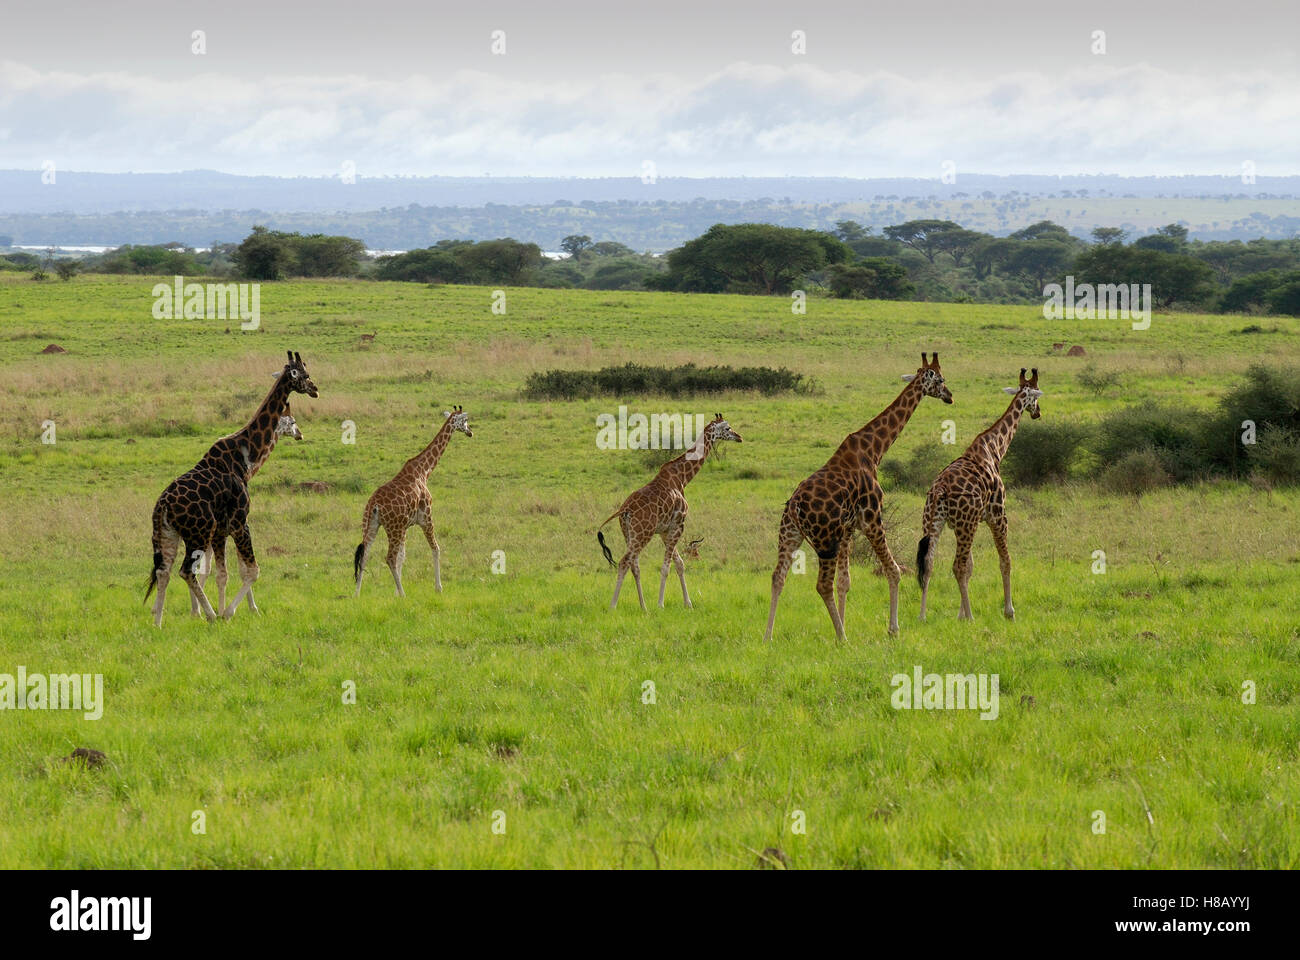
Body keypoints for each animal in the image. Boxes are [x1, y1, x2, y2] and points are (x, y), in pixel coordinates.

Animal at [192, 414, 302, 617]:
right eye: (292, 422)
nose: (299, 434)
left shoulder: (234, 530)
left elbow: (237, 568)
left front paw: (250, 608)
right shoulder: (237, 528)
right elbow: (233, 570)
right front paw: (231, 610)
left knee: (201, 567)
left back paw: (200, 610)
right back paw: (203, 611)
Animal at [353, 406, 473, 597]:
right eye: (465, 420)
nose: (470, 432)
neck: (424, 470)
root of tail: (374, 505)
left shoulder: (406, 526)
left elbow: (403, 557)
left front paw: (395, 591)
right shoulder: (426, 517)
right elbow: (436, 548)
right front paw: (438, 588)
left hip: (371, 525)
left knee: (365, 555)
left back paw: (356, 594)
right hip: (393, 528)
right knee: (389, 557)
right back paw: (404, 594)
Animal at [596, 414, 743, 611]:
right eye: (727, 428)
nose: (739, 437)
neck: (682, 478)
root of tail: (624, 510)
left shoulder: (665, 531)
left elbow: (679, 563)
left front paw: (688, 603)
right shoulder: (678, 524)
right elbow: (666, 567)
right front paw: (661, 604)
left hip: (628, 533)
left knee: (634, 565)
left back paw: (643, 607)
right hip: (643, 533)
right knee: (624, 561)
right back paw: (613, 606)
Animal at [763, 353, 953, 641]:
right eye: (940, 379)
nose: (950, 396)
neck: (874, 450)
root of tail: (794, 506)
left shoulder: (848, 529)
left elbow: (845, 582)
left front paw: (842, 623)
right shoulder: (872, 519)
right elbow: (893, 570)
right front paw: (893, 629)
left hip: (789, 534)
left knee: (778, 578)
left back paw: (768, 637)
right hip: (825, 540)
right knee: (822, 585)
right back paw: (843, 639)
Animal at [916, 368, 1043, 623]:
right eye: (1036, 395)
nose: (1038, 413)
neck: (995, 448)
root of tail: (939, 490)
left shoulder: (967, 522)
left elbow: (970, 568)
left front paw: (960, 615)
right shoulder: (997, 515)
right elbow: (1005, 561)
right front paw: (1009, 611)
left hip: (935, 522)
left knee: (931, 562)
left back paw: (923, 616)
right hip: (966, 524)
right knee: (956, 565)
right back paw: (973, 618)